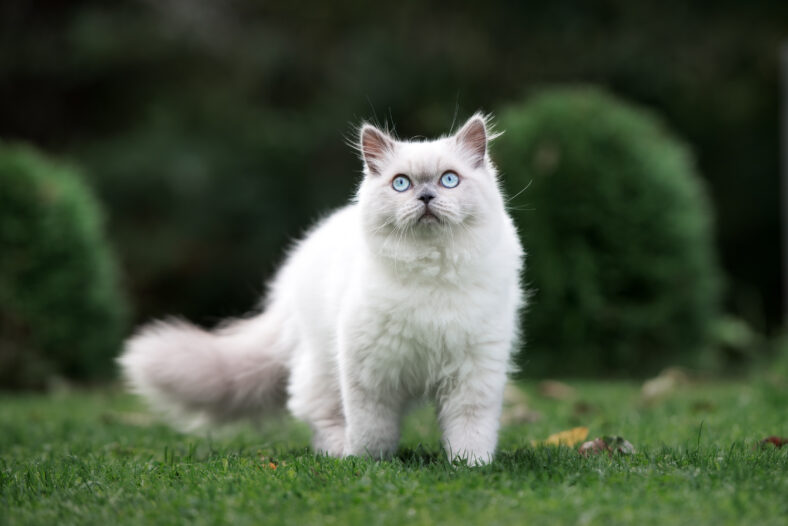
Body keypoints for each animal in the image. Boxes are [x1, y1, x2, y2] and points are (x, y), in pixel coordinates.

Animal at [120, 114, 524, 466]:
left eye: (449, 180)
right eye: (402, 184)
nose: (425, 197)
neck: (430, 272)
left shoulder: (475, 373)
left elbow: (470, 431)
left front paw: (470, 467)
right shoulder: (368, 371)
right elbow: (372, 431)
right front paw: (367, 465)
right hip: (323, 368)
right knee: (321, 416)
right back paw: (338, 453)